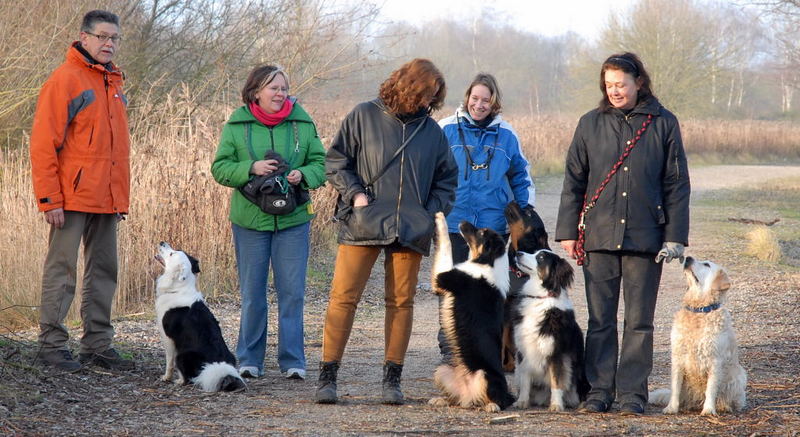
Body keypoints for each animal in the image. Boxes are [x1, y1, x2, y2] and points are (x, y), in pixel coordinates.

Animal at [154, 242, 244, 392]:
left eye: (172, 253)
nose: (162, 242)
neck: (178, 289)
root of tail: (215, 365)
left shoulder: (168, 338)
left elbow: (169, 362)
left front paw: (166, 377)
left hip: (182, 355)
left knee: (188, 376)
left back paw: (180, 381)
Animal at [428, 213, 516, 410]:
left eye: (482, 232)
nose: (462, 221)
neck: (488, 262)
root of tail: (468, 395)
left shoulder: (443, 277)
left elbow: (447, 244)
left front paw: (440, 218)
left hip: (485, 375)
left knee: (498, 399)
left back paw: (492, 406)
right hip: (441, 370)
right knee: (457, 399)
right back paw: (442, 400)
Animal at [512, 249, 588, 408]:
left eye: (540, 257)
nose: (518, 253)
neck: (541, 298)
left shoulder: (556, 353)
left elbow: (556, 380)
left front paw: (556, 404)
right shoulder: (524, 350)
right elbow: (524, 379)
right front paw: (522, 401)